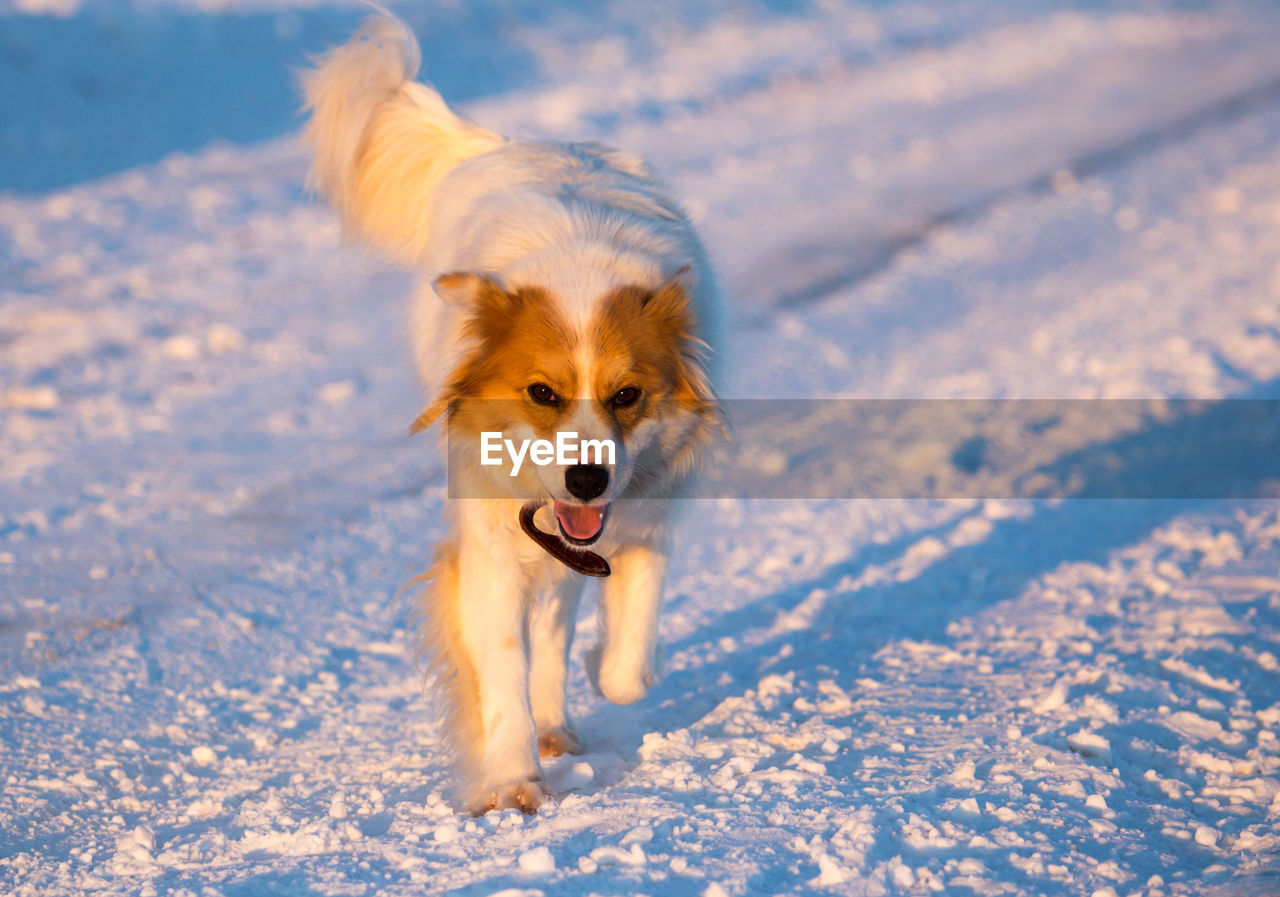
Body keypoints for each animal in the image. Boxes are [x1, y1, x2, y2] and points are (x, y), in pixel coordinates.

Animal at [300, 12, 721, 813]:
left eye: (627, 395)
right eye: (542, 393)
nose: (586, 481)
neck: (581, 269)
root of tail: (519, 142)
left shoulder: (649, 515)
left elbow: (626, 664)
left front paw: (598, 669)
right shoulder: (492, 537)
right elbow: (500, 664)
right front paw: (511, 779)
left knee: (559, 618)